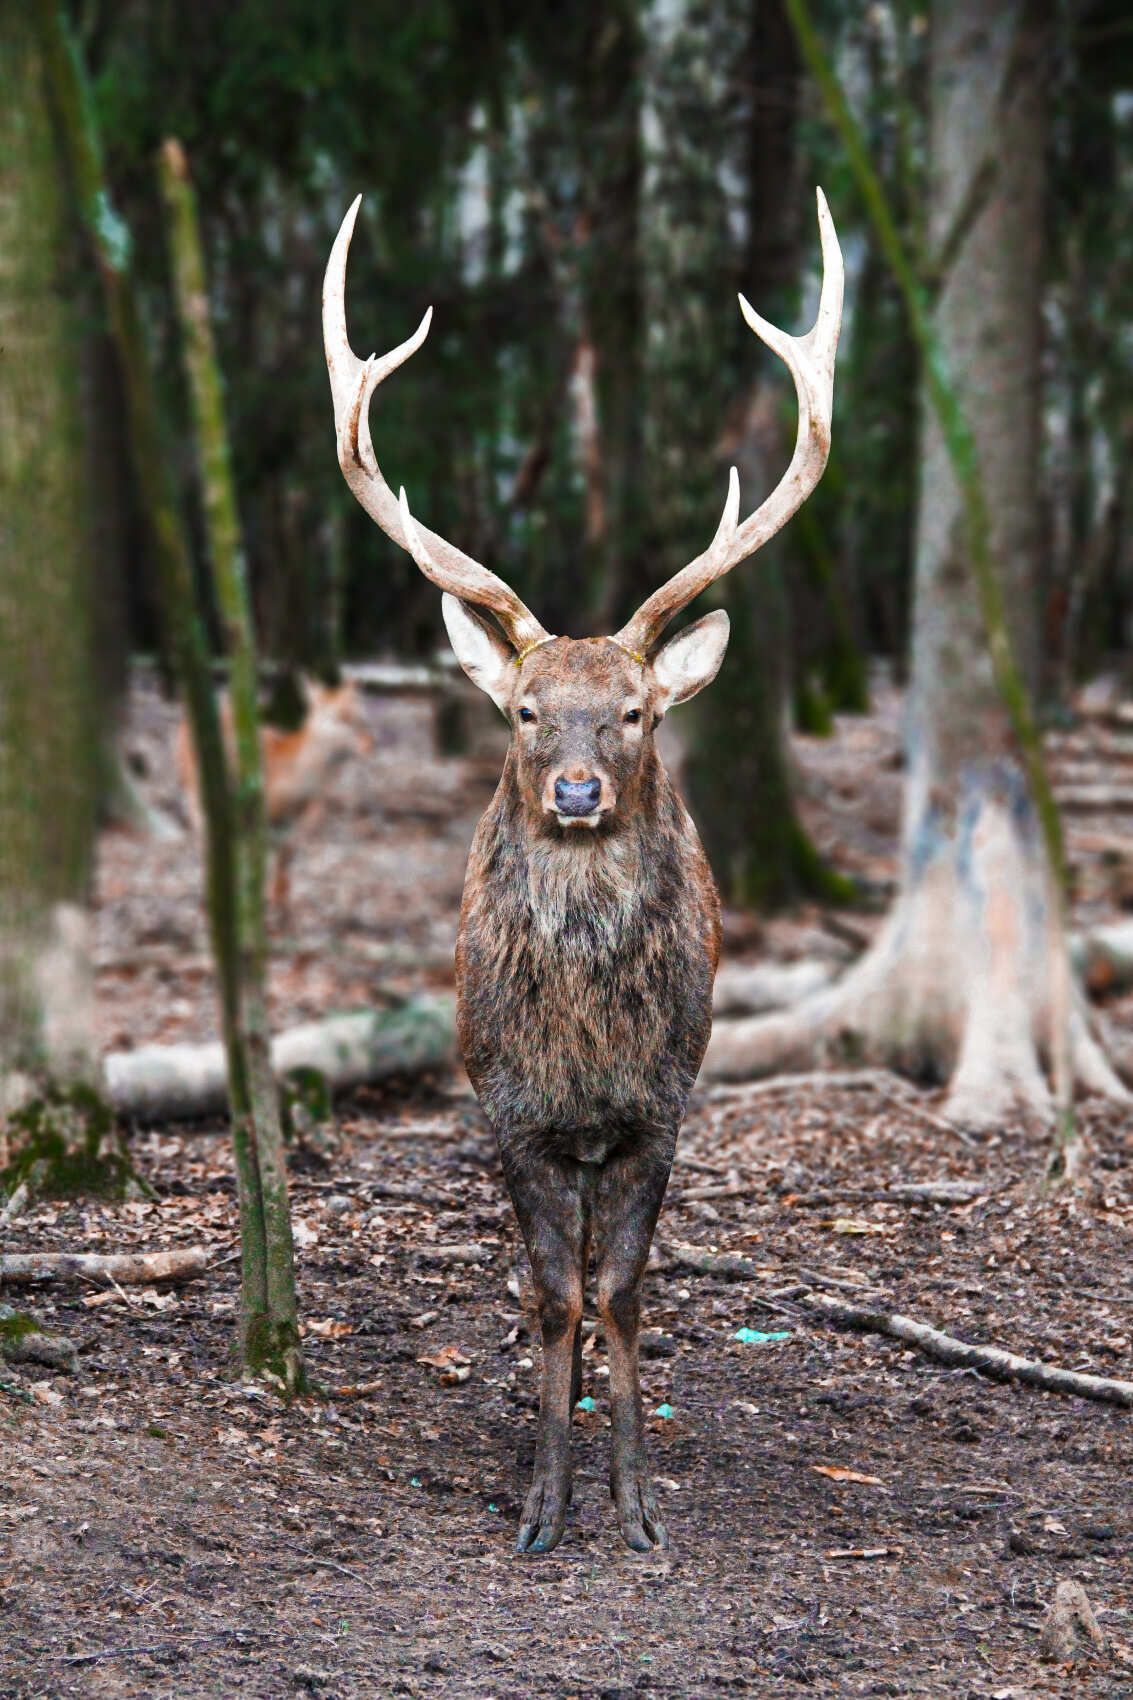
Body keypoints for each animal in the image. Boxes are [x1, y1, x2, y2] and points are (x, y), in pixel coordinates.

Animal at [175, 673, 370, 918]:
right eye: (340, 718)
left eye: (363, 717)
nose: (368, 745)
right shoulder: (251, 829)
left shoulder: (292, 835)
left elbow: (283, 878)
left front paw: (282, 912)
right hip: (198, 804)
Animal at [321, 186, 843, 1557]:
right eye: (521, 709)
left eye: (634, 713)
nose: (571, 790)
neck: (585, 1042)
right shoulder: (506, 1108)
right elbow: (551, 1293)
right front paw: (543, 1507)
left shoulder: (662, 1104)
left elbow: (623, 1288)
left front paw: (636, 1503)